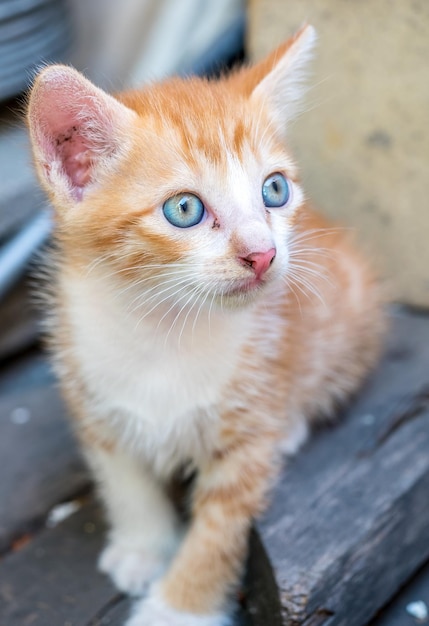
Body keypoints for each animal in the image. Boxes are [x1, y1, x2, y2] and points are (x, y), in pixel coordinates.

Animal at [25, 24, 382, 624]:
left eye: (275, 190)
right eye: (185, 209)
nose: (263, 254)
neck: (163, 327)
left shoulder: (248, 433)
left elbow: (218, 532)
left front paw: (177, 609)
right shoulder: (89, 389)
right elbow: (124, 478)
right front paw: (143, 546)